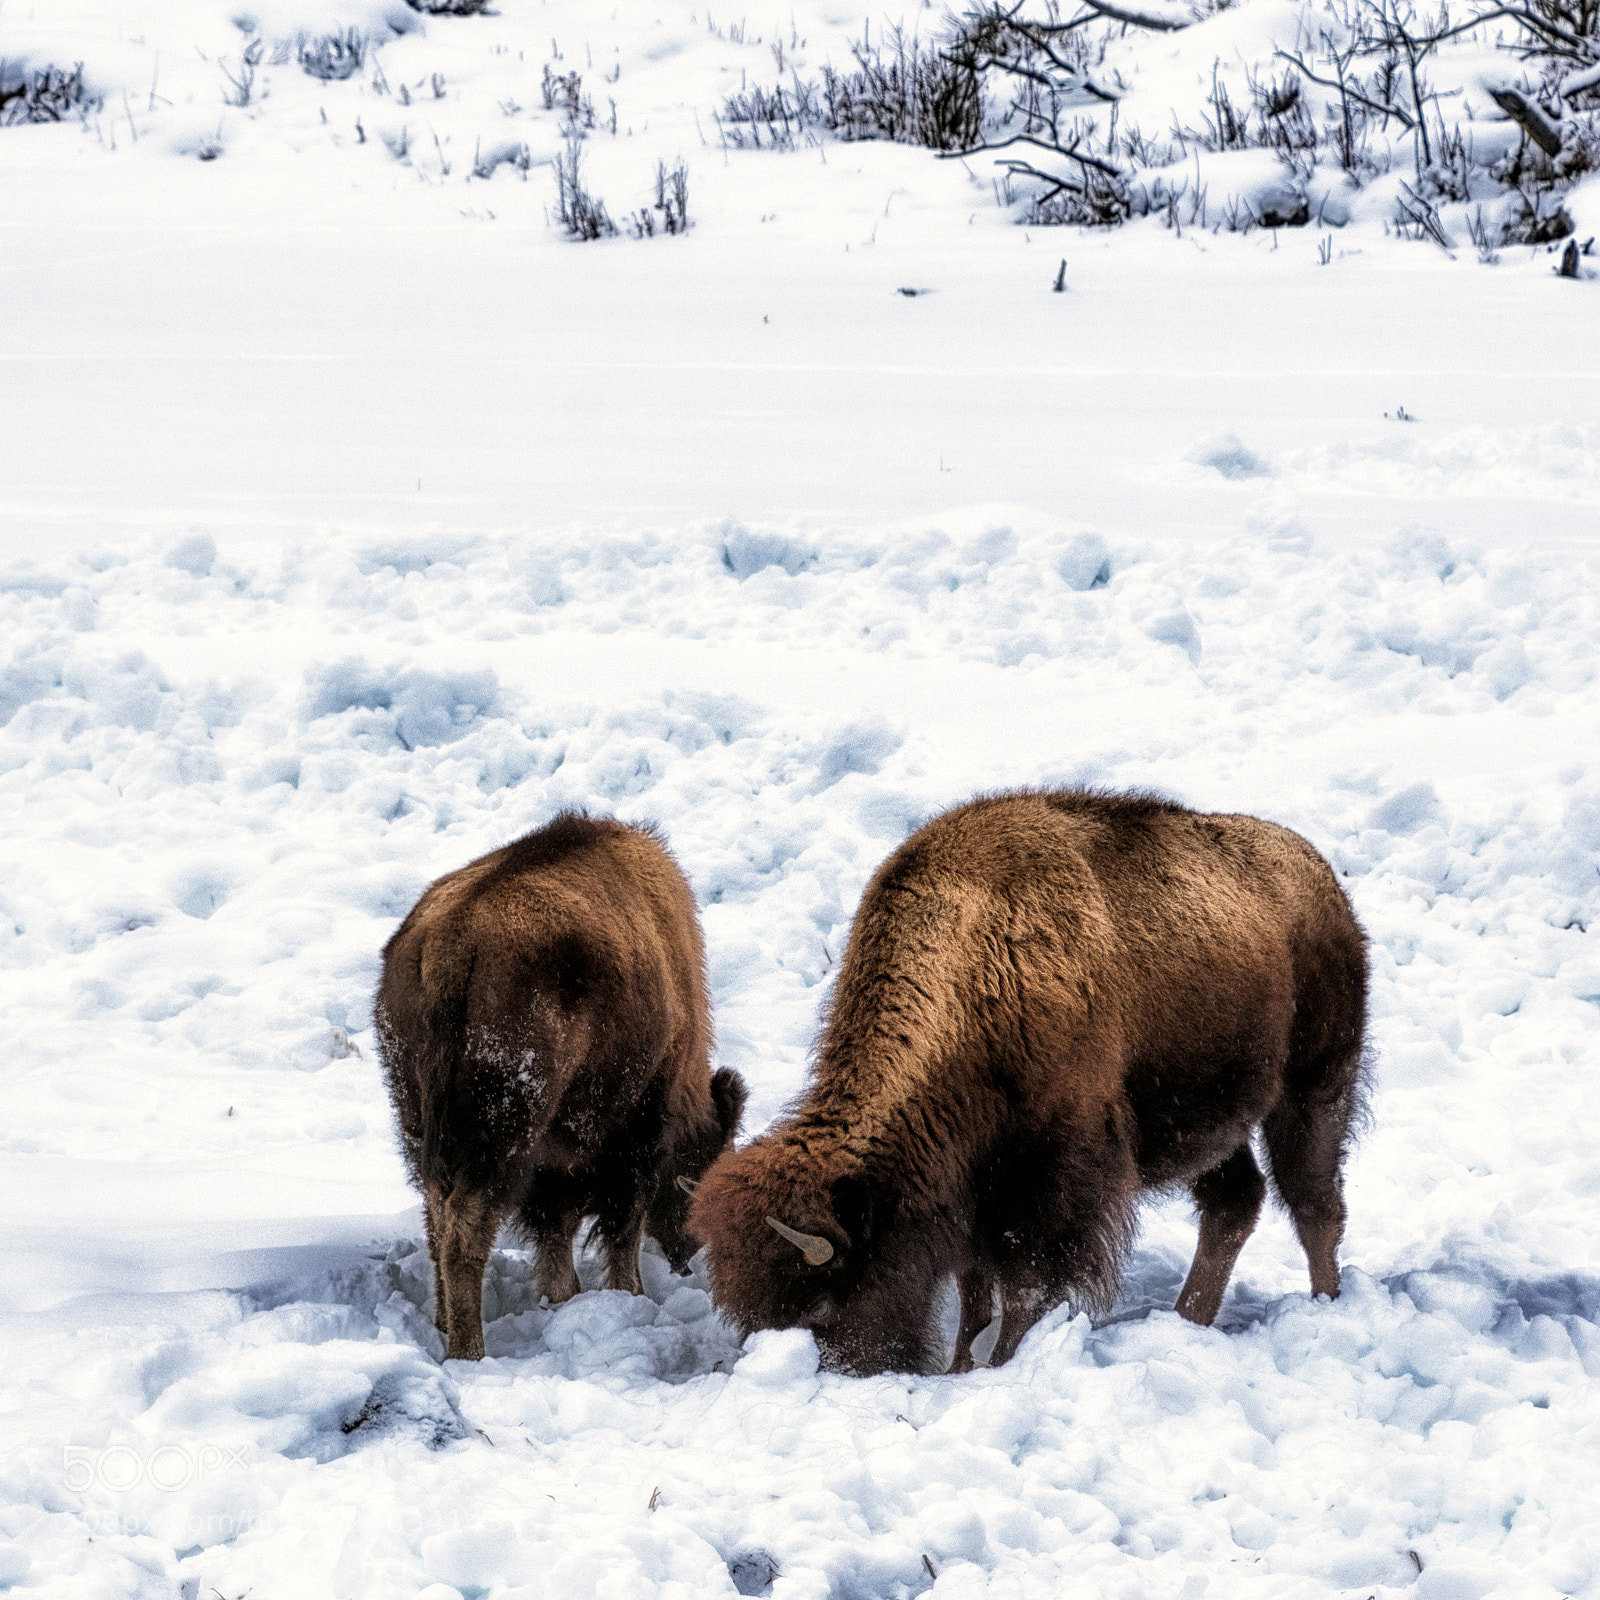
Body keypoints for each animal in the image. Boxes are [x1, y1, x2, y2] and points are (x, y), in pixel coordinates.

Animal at [376, 812, 746, 1360]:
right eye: (704, 1164)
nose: (686, 1255)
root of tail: (451, 946)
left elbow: (558, 1231)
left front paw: (565, 1297)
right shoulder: (634, 1130)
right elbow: (619, 1224)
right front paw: (626, 1294)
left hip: (419, 1120)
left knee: (436, 1217)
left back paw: (445, 1323)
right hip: (502, 1131)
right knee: (464, 1230)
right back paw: (469, 1350)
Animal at [689, 789, 1368, 1376]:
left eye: (822, 1303)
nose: (843, 1373)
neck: (975, 970)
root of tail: (1320, 876)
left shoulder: (1050, 1181)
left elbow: (1024, 1289)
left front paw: (997, 1366)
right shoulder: (971, 1186)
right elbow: (975, 1289)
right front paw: (961, 1366)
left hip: (1314, 1089)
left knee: (1314, 1203)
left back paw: (1324, 1307)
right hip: (1207, 1120)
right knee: (1235, 1201)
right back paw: (1188, 1320)